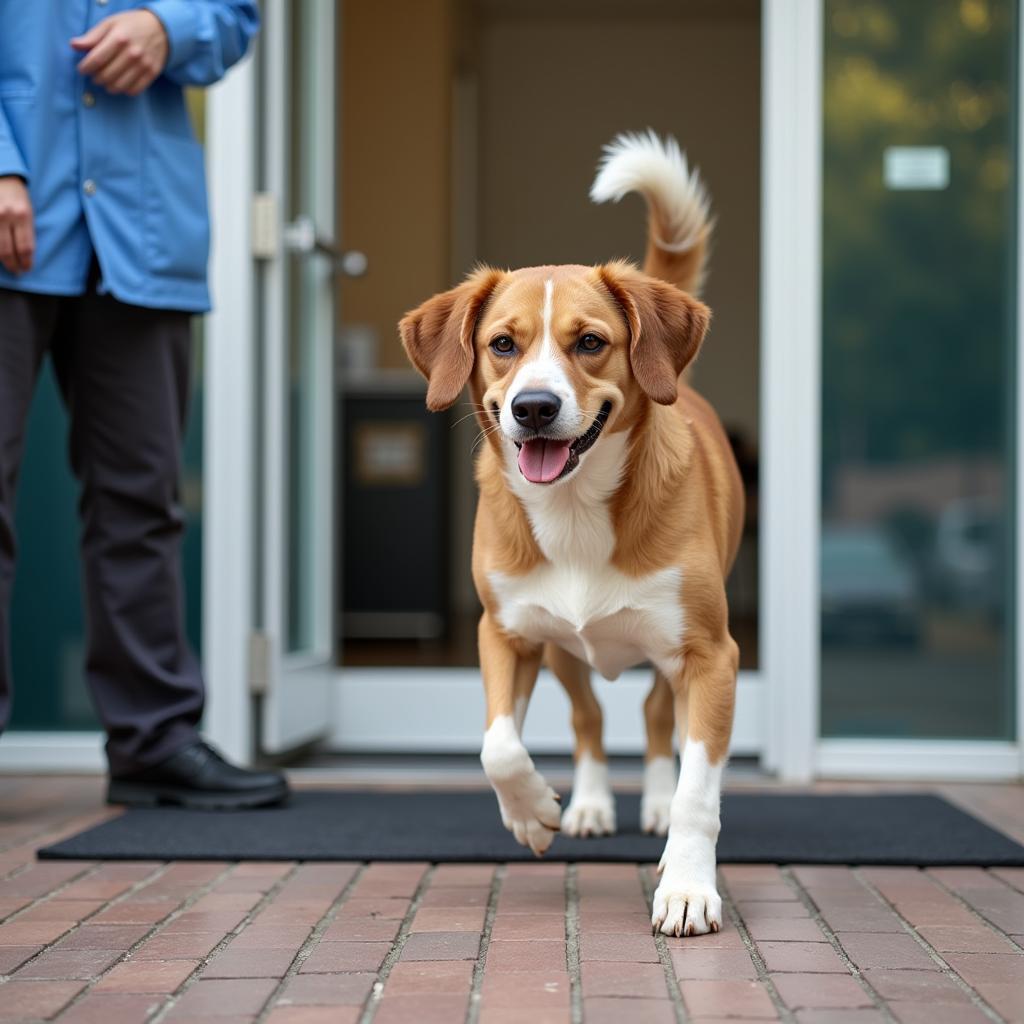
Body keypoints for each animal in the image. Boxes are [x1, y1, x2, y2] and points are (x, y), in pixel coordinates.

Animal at [399, 130, 745, 937]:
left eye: (589, 342)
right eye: (502, 344)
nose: (532, 407)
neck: (577, 508)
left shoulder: (712, 656)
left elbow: (699, 790)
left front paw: (687, 884)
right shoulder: (505, 634)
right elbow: (497, 745)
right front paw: (532, 812)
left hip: (669, 655)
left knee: (654, 718)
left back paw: (653, 802)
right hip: (563, 651)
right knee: (589, 717)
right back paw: (587, 802)